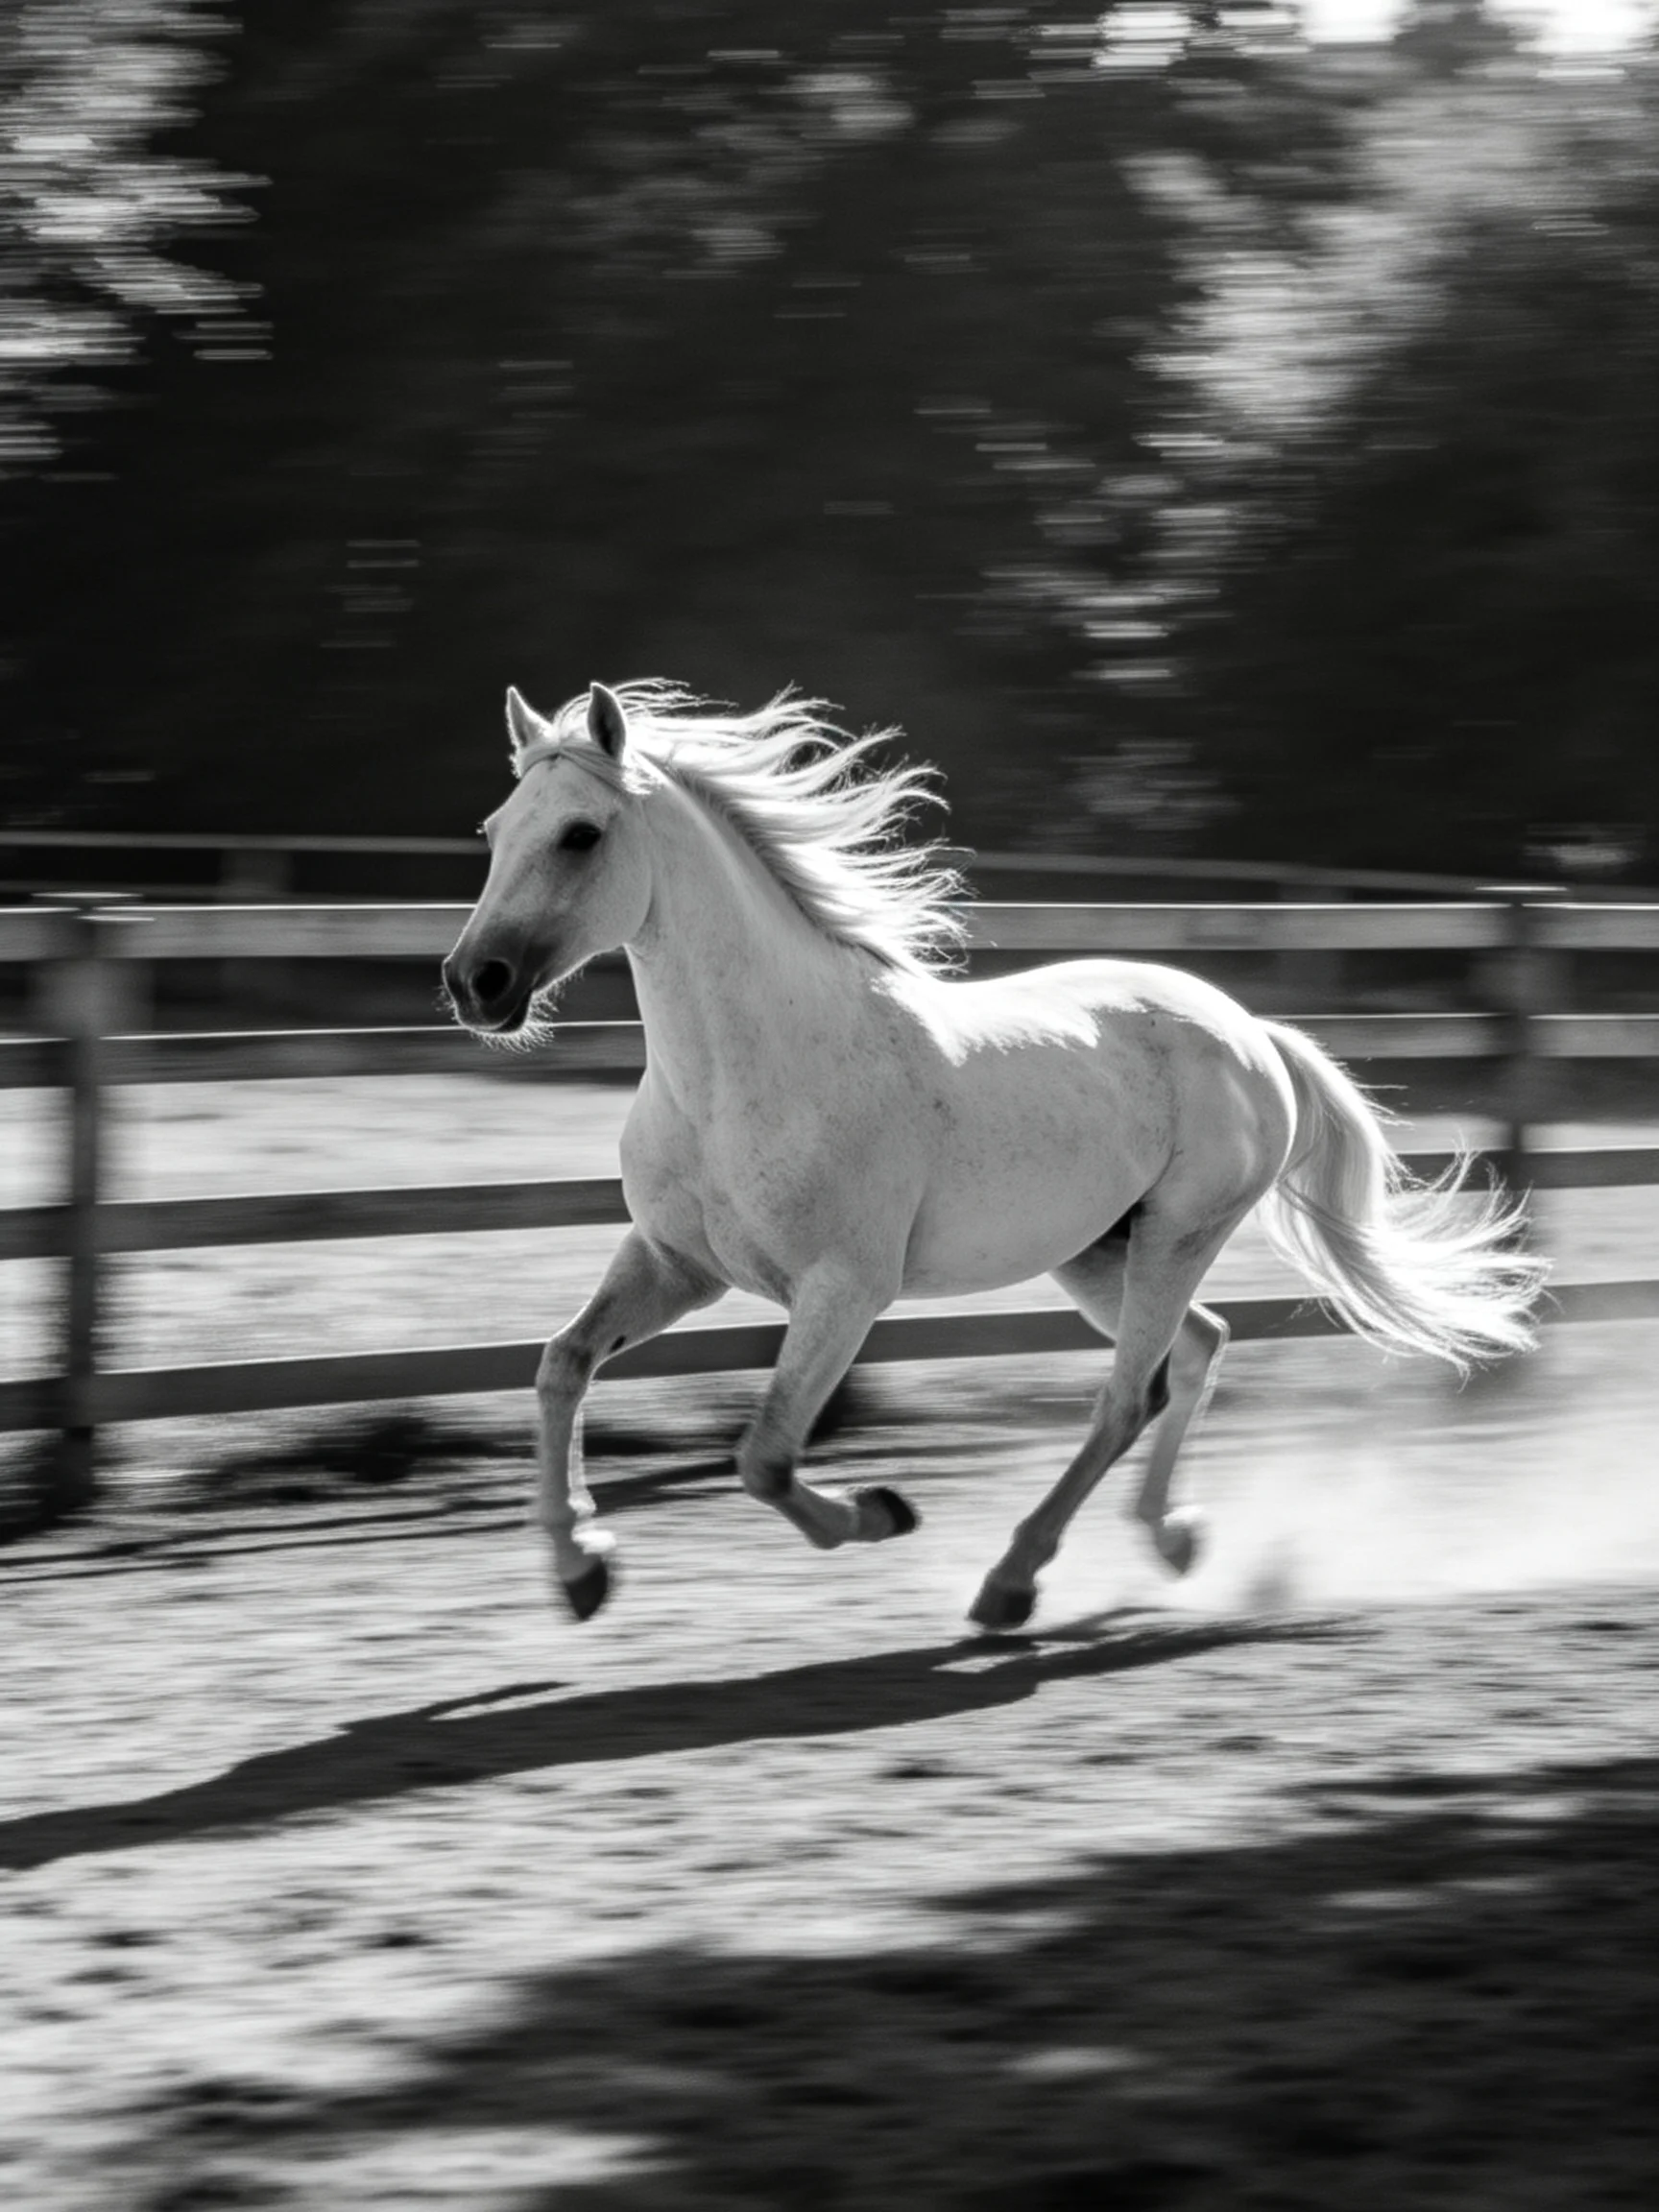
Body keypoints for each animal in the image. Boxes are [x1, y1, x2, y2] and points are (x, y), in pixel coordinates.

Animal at [442, 680, 1545, 1631]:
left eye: (581, 834)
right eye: (494, 832)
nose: (473, 982)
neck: (738, 1078)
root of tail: (1251, 1033)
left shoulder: (845, 1289)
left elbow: (765, 1458)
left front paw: (882, 1511)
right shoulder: (678, 1264)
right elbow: (562, 1366)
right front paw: (582, 1569)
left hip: (1180, 1234)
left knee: (1126, 1395)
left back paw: (1012, 1584)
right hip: (1098, 1251)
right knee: (1197, 1351)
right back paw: (1170, 1542)